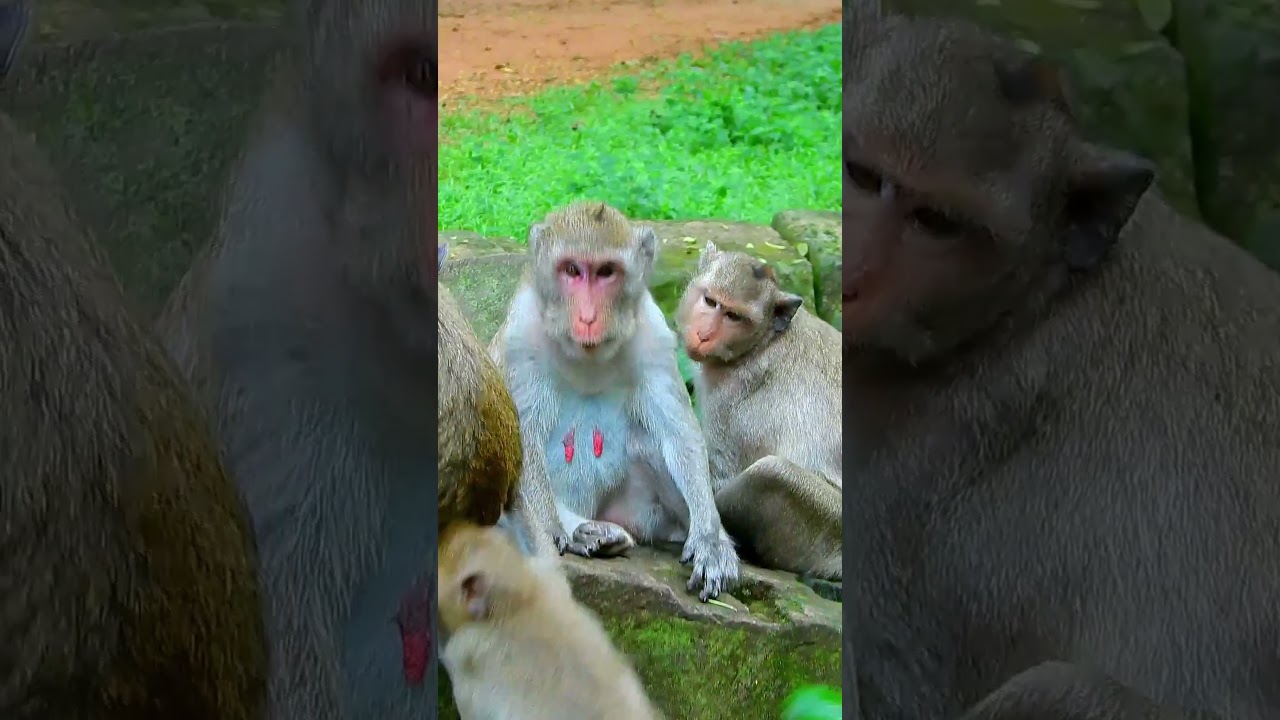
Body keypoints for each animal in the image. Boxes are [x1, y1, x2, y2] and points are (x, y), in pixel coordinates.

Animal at [489, 200, 740, 601]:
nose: (589, 317)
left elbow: (678, 432)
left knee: (649, 442)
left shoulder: (653, 333)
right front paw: (554, 532)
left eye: (607, 272)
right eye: (572, 270)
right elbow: (520, 436)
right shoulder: (521, 338)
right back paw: (585, 531)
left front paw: (710, 539)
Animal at [674, 242, 842, 581]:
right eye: (710, 301)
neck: (762, 342)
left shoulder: (732, 397)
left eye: (733, 316)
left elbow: (716, 474)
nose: (704, 335)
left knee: (770, 474)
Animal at [841, 12, 1280, 720]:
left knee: (1059, 691)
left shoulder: (909, 475)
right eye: (860, 175)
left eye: (936, 221)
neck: (1024, 305)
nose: (850, 278)